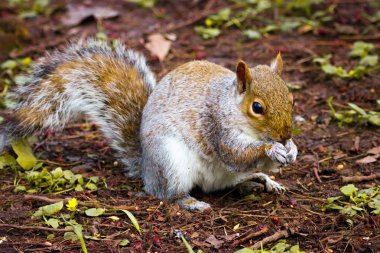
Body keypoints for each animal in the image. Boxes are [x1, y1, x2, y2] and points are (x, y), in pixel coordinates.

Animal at [0, 38, 296, 211]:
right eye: (257, 107)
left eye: (292, 99)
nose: (284, 134)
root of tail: (146, 168)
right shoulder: (216, 126)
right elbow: (235, 154)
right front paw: (271, 149)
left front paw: (290, 149)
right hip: (171, 162)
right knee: (168, 194)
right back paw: (191, 202)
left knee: (231, 181)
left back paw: (262, 180)